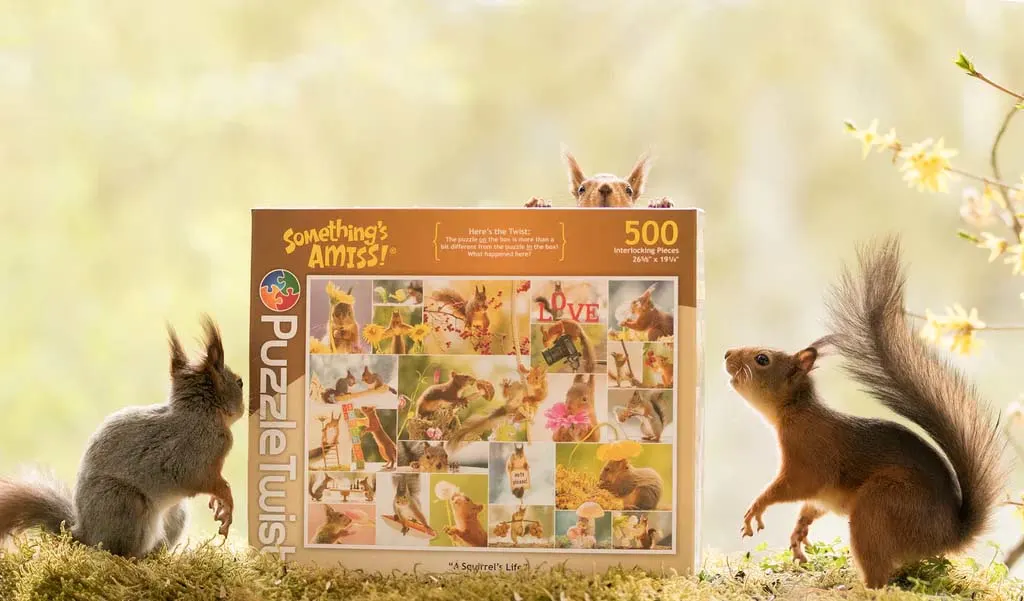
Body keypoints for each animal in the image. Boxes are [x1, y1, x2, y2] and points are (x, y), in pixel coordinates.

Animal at [0, 317, 243, 558]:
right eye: (239, 382)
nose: (244, 406)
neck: (201, 413)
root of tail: (83, 533)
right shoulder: (196, 453)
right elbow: (204, 479)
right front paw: (227, 501)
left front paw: (219, 502)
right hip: (127, 505)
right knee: (118, 550)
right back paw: (134, 558)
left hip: (175, 513)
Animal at [724, 238, 1004, 588]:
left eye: (762, 359)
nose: (727, 354)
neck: (795, 411)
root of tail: (948, 535)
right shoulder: (821, 491)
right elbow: (812, 505)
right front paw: (799, 530)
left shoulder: (809, 455)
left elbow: (794, 486)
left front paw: (757, 508)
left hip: (879, 507)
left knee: (879, 575)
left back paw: (858, 587)